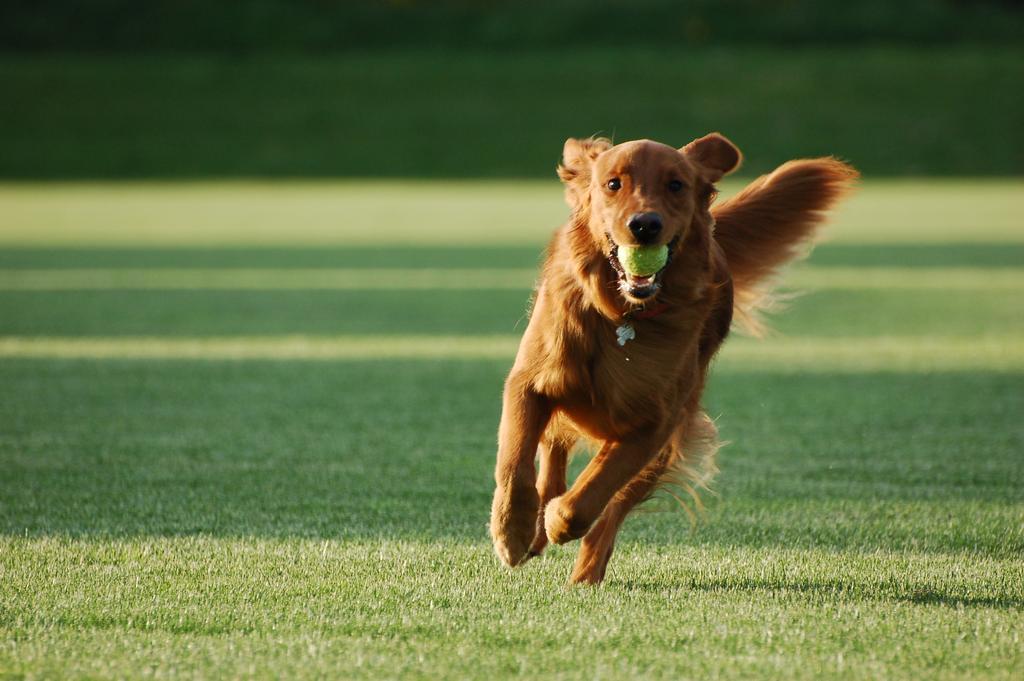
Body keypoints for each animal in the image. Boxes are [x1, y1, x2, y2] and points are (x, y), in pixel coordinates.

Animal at [487, 134, 856, 585]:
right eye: (613, 184)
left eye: (676, 185)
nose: (645, 225)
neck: (621, 314)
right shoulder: (529, 382)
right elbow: (515, 465)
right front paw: (512, 532)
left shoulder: (655, 424)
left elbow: (592, 493)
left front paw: (558, 521)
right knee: (553, 455)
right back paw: (537, 531)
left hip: (671, 436)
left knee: (612, 509)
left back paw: (585, 570)